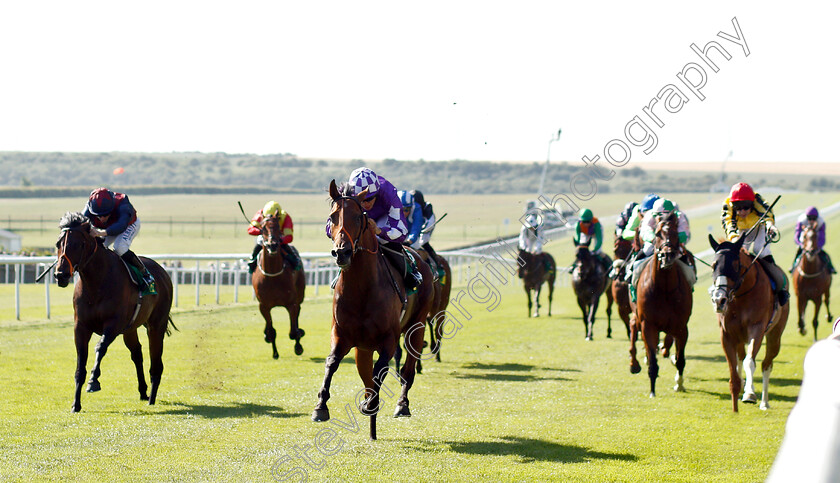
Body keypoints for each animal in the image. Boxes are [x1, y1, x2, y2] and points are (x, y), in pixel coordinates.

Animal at [53, 214, 175, 414]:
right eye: (58, 244)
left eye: (77, 244)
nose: (60, 275)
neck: (96, 284)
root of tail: (163, 272)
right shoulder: (81, 327)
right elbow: (80, 363)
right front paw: (76, 404)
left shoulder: (114, 324)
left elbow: (100, 347)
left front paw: (93, 381)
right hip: (131, 328)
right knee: (137, 353)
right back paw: (143, 392)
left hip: (156, 325)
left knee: (156, 361)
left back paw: (152, 398)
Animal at [251, 214, 306, 358]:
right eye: (262, 228)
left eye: (277, 226)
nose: (272, 245)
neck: (272, 276)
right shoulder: (264, 306)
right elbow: (271, 330)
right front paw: (274, 352)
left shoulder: (291, 303)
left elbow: (293, 331)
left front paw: (298, 345)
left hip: (300, 295)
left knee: (297, 315)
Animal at [314, 180, 434, 440]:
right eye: (332, 217)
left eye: (359, 217)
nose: (341, 252)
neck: (362, 289)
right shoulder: (341, 335)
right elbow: (332, 363)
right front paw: (321, 406)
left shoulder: (388, 339)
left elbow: (381, 369)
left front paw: (371, 404)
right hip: (363, 346)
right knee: (366, 373)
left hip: (416, 326)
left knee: (408, 370)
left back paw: (401, 405)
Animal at [632, 213, 692, 398]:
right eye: (657, 234)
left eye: (675, 233)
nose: (667, 256)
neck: (664, 288)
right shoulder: (648, 324)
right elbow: (652, 360)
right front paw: (652, 391)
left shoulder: (681, 327)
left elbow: (680, 360)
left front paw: (679, 384)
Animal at [708, 234, 788, 412]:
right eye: (713, 265)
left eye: (735, 265)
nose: (719, 300)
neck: (740, 296)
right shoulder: (727, 334)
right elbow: (733, 368)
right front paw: (735, 402)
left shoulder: (757, 329)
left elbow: (750, 361)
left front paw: (750, 394)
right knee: (741, 358)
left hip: (775, 335)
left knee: (766, 364)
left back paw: (764, 402)